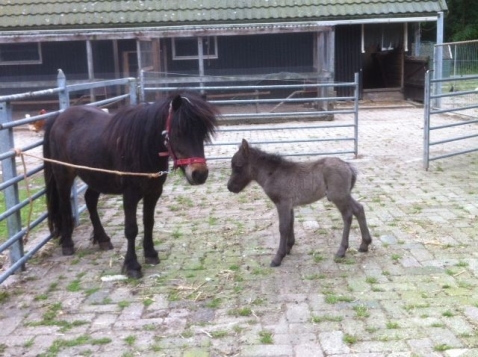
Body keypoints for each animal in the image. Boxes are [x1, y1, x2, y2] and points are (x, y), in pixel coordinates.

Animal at [43, 92, 218, 278]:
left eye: (203, 133)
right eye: (178, 132)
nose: (199, 174)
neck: (141, 147)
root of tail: (60, 116)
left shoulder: (153, 192)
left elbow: (149, 222)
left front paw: (151, 254)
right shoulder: (130, 195)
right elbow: (131, 229)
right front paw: (132, 265)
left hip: (96, 176)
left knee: (90, 200)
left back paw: (103, 239)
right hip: (64, 175)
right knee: (64, 205)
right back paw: (67, 244)